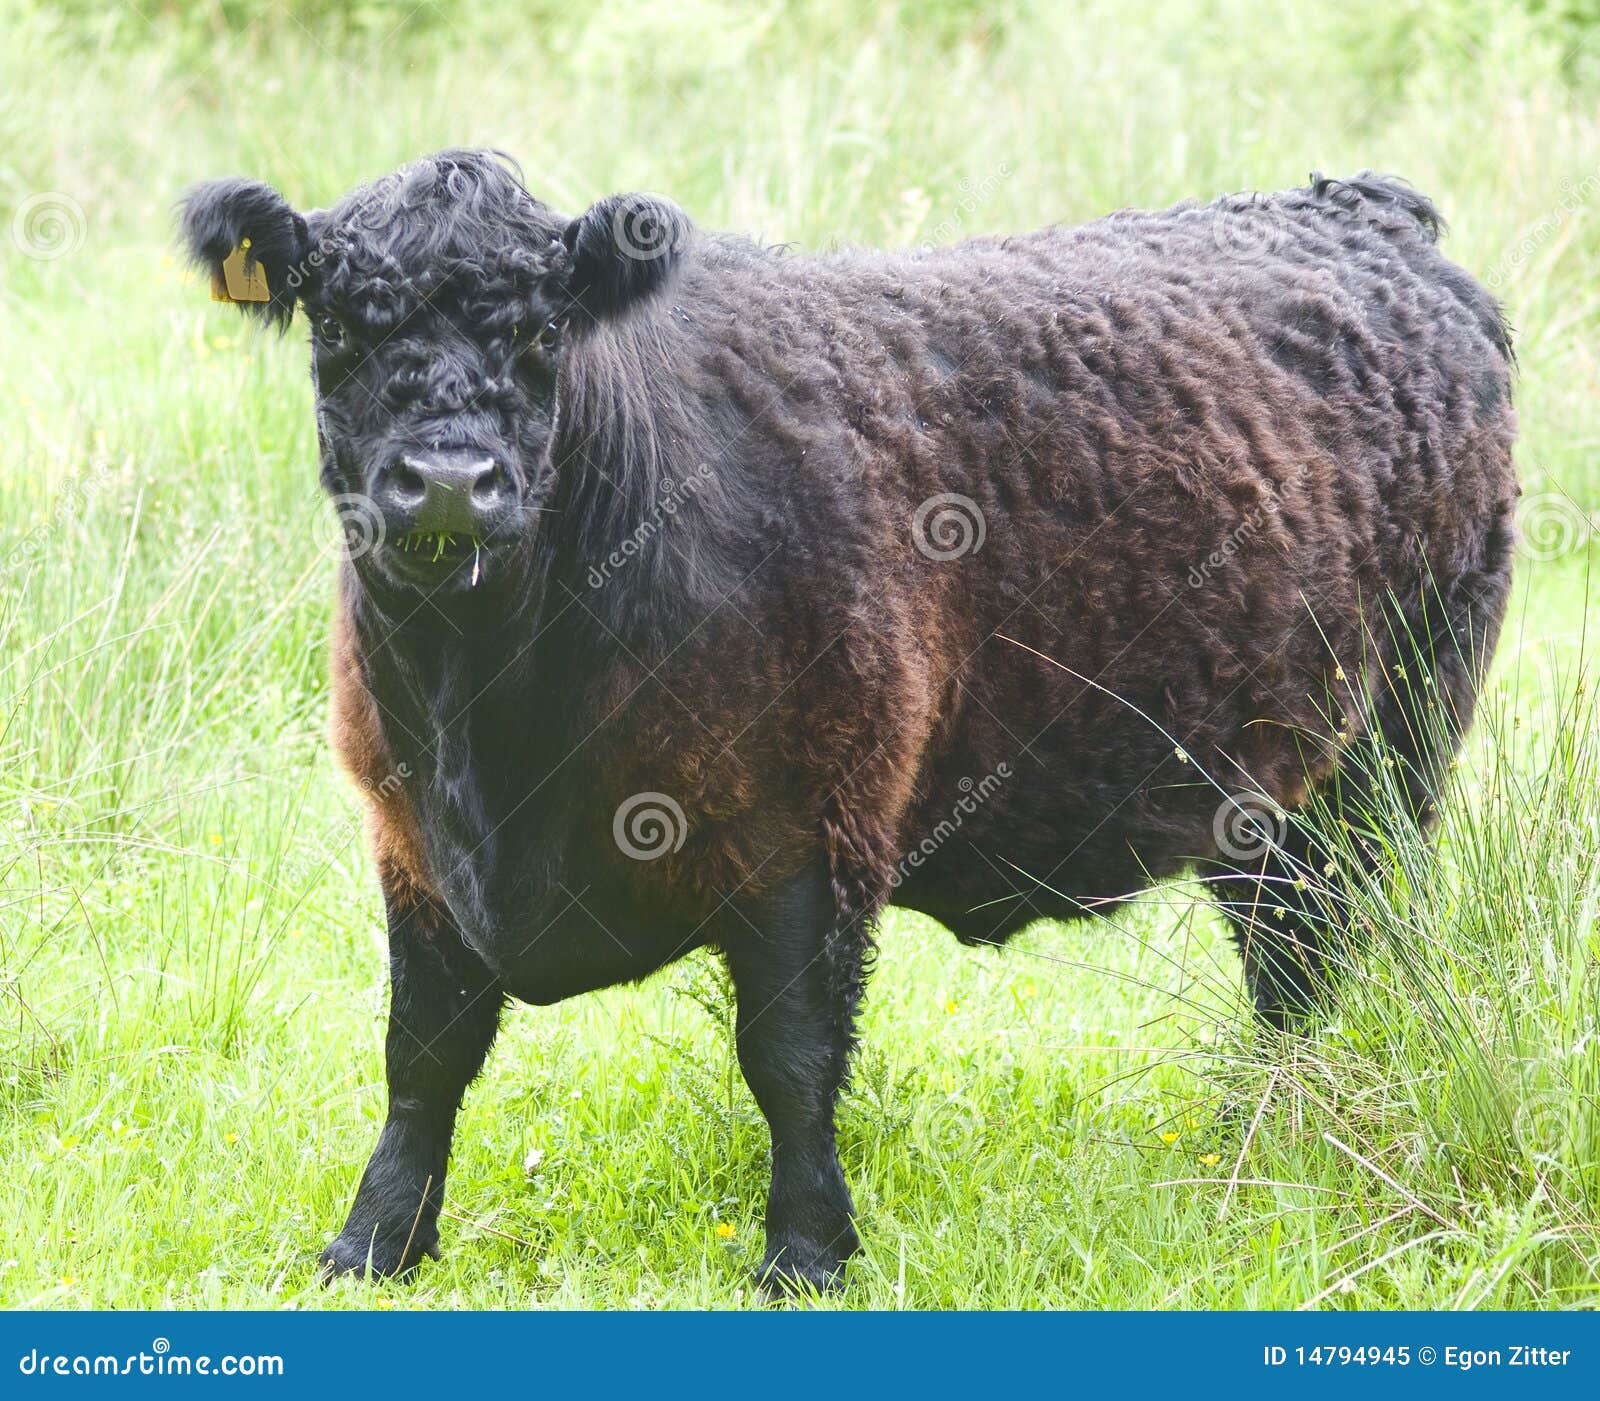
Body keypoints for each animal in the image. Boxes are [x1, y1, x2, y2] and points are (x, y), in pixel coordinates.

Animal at [184, 153, 1510, 1292]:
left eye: (542, 331)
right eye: (340, 328)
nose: (451, 485)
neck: (492, 715)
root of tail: (1356, 208)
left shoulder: (807, 834)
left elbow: (789, 1056)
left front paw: (806, 1253)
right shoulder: (410, 839)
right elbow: (423, 1054)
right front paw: (373, 1244)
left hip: (1387, 757)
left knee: (1323, 949)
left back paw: (1269, 1136)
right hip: (1264, 787)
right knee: (1288, 956)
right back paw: (1252, 1132)